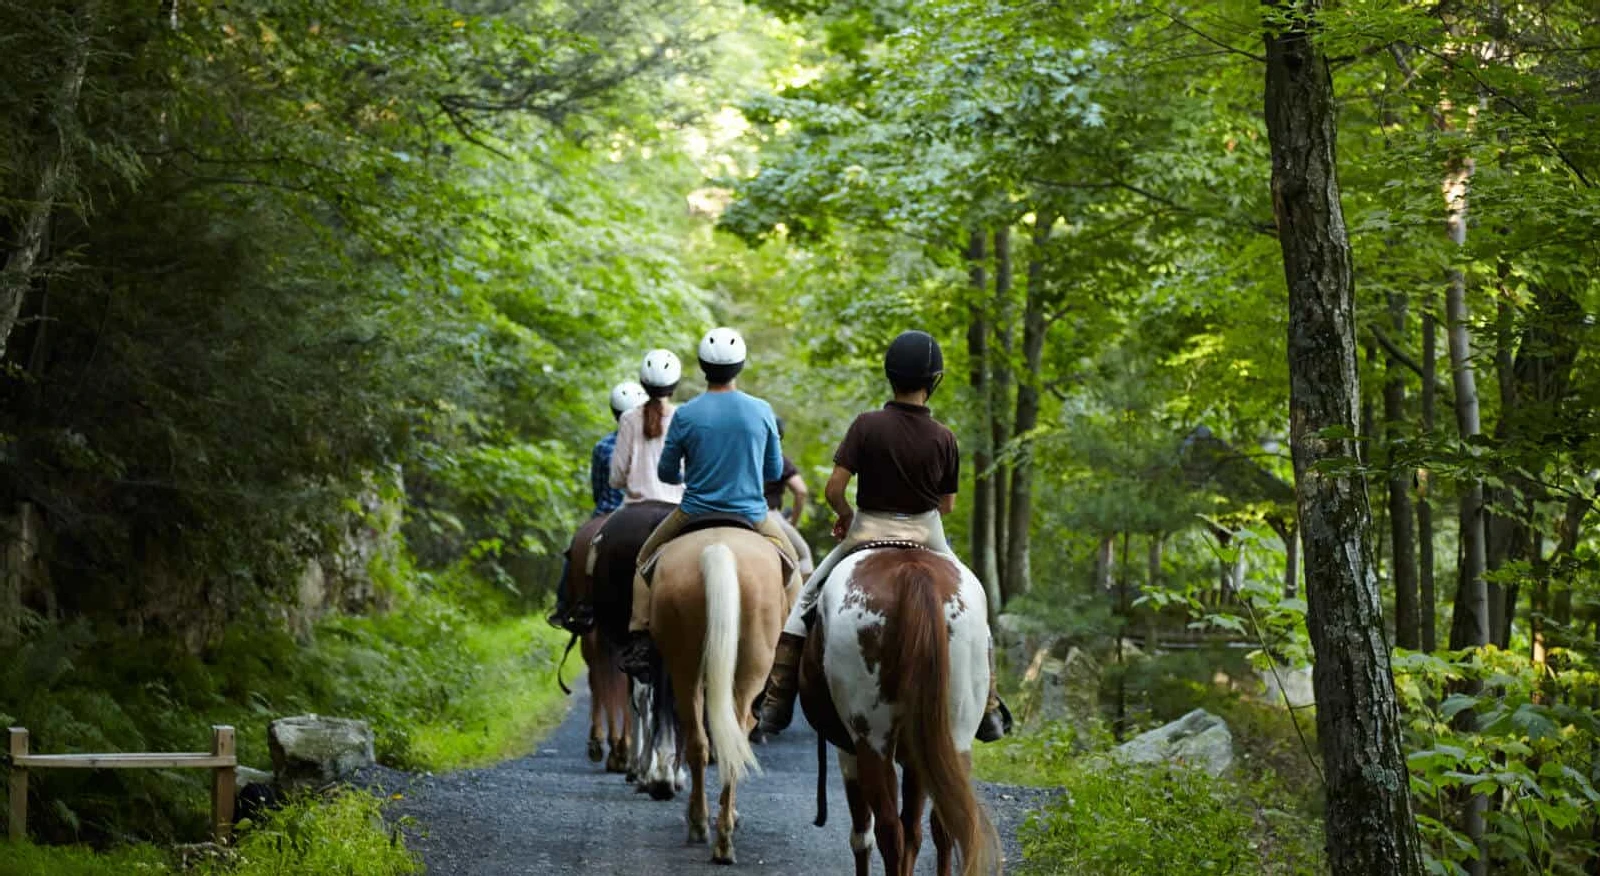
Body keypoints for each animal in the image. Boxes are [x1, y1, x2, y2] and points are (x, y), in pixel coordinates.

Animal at [646, 521, 790, 863]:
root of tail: (718, 548)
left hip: (683, 664)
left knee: (700, 742)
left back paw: (707, 829)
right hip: (751, 668)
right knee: (733, 738)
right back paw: (719, 835)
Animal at [800, 546, 998, 876]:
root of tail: (913, 572)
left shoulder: (849, 752)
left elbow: (863, 834)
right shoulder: (920, 755)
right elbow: (915, 831)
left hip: (872, 740)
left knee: (888, 831)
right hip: (956, 736)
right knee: (941, 824)